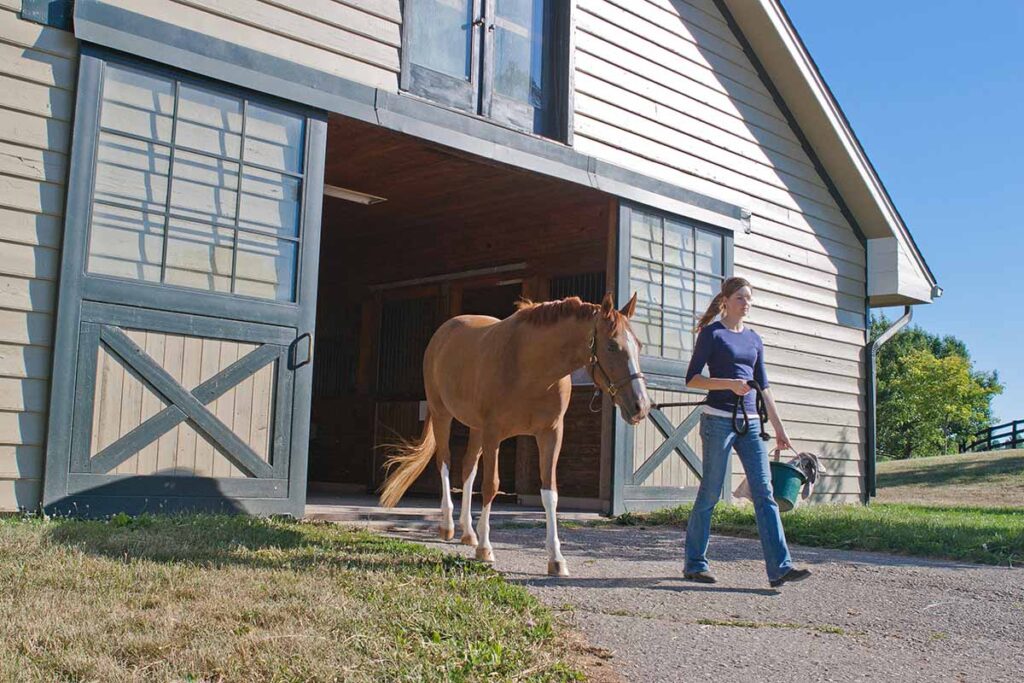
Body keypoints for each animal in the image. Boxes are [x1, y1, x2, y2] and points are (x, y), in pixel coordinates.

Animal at [378, 292, 652, 576]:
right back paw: (449, 527)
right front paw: (485, 549)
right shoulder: (493, 433)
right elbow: (491, 486)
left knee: (467, 468)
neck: (531, 367)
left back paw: (468, 532)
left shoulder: (551, 434)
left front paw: (556, 559)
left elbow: (550, 493)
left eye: (639, 345)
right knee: (444, 462)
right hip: (443, 415)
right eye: (611, 346)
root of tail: (442, 333)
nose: (641, 406)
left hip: (476, 428)